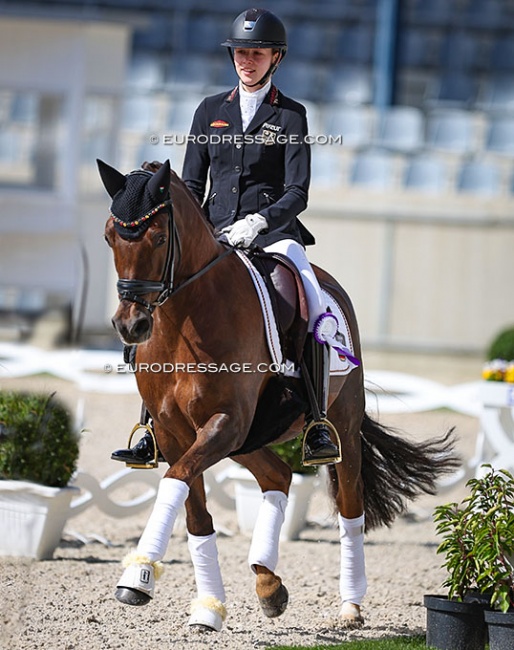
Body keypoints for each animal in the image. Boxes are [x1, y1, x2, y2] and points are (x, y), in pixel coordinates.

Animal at [97, 159, 456, 632]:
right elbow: (193, 511)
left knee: (350, 508)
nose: (131, 326)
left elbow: (176, 482)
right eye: (110, 236)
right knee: (278, 476)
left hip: (338, 427)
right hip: (247, 440)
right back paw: (268, 583)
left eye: (158, 237)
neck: (185, 320)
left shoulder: (226, 422)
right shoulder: (177, 432)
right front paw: (206, 607)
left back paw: (350, 606)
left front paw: (137, 575)